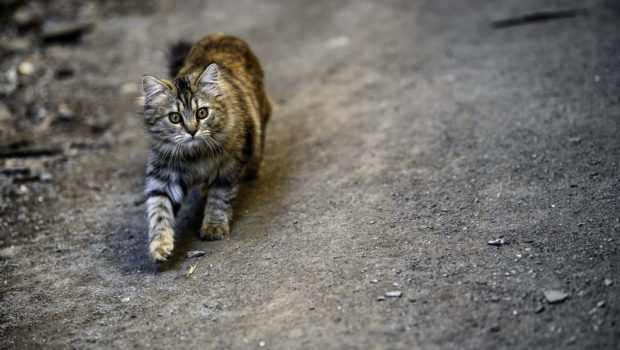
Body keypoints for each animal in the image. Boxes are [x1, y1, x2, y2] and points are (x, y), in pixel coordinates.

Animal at [139, 32, 270, 262]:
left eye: (202, 113)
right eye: (174, 118)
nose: (192, 131)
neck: (195, 156)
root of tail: (221, 34)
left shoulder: (228, 168)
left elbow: (219, 198)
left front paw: (213, 226)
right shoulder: (164, 178)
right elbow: (159, 212)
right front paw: (159, 246)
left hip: (260, 118)